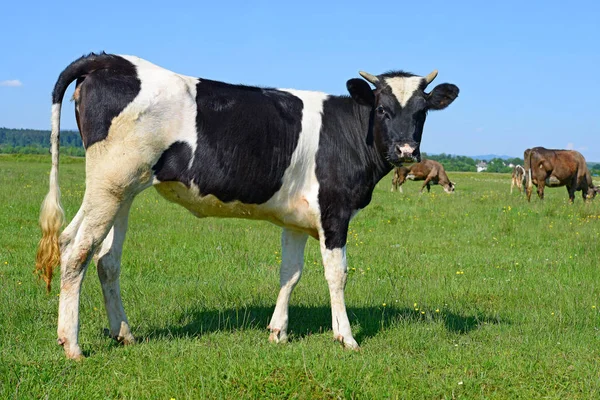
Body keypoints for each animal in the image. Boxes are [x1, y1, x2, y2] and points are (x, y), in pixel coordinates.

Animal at [36, 53, 460, 360]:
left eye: (421, 111)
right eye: (383, 109)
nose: (406, 151)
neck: (351, 134)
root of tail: (107, 59)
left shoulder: (296, 218)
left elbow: (290, 273)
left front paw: (278, 332)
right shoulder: (335, 212)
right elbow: (337, 275)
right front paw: (346, 338)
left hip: (122, 189)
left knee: (102, 257)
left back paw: (123, 334)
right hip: (110, 185)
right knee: (76, 251)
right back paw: (72, 345)